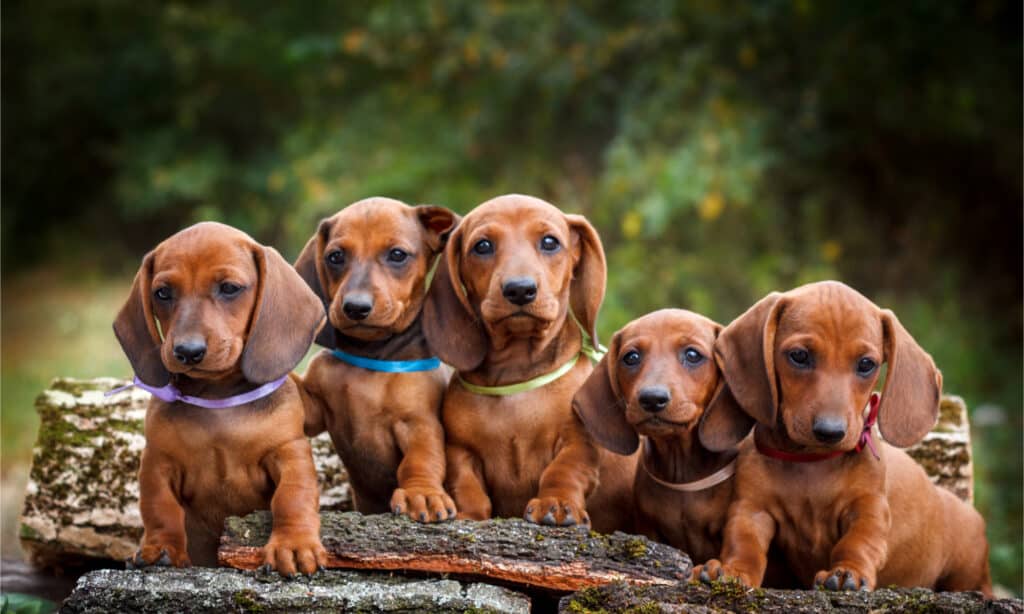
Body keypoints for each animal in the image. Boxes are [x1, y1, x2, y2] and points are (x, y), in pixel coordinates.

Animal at [114, 222, 325, 577]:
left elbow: (292, 496)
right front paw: (161, 547)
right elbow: (159, 507)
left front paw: (294, 545)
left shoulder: (289, 451)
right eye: (162, 293)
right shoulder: (157, 461)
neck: (218, 400)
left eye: (229, 288)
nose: (188, 351)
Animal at [421, 193, 630, 532]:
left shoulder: (578, 441)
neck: (515, 377)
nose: (520, 289)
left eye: (550, 242)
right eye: (482, 246)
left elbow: (564, 471)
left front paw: (556, 503)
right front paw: (469, 514)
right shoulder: (460, 450)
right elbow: (467, 485)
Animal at [696, 282, 991, 593]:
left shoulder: (869, 509)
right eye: (799, 356)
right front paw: (732, 571)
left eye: (866, 364)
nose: (830, 431)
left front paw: (847, 572)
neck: (810, 463)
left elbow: (857, 543)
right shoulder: (752, 510)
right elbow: (744, 543)